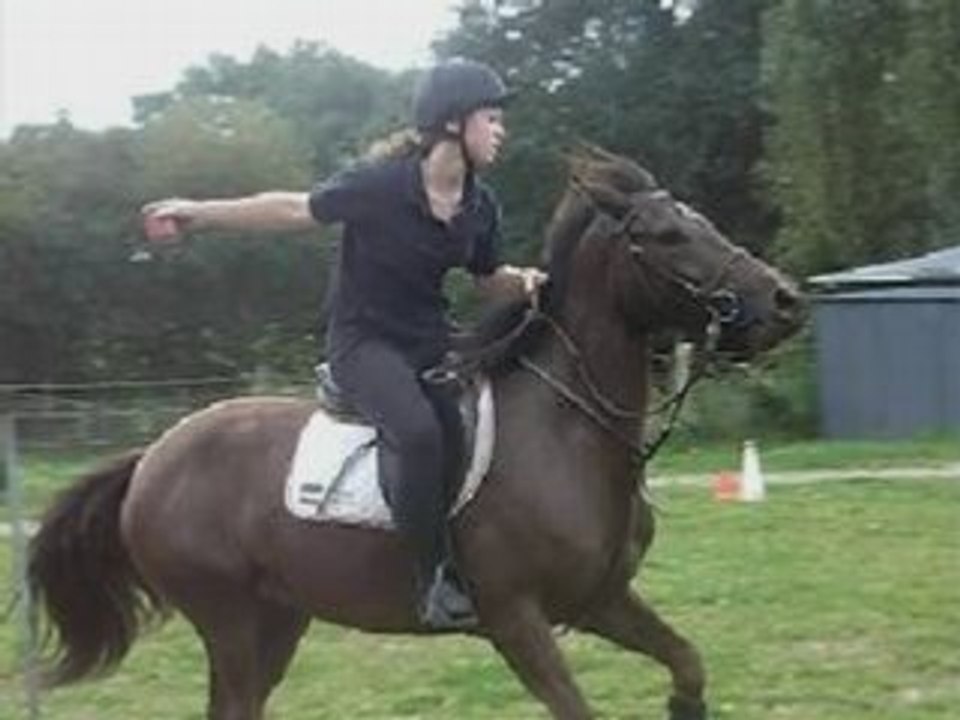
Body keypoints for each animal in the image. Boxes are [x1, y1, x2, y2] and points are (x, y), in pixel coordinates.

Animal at [26, 145, 804, 720]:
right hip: (232, 623)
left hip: (278, 619)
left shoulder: (601, 601)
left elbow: (688, 665)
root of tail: (152, 457)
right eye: (666, 236)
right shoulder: (517, 621)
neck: (567, 433)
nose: (785, 300)